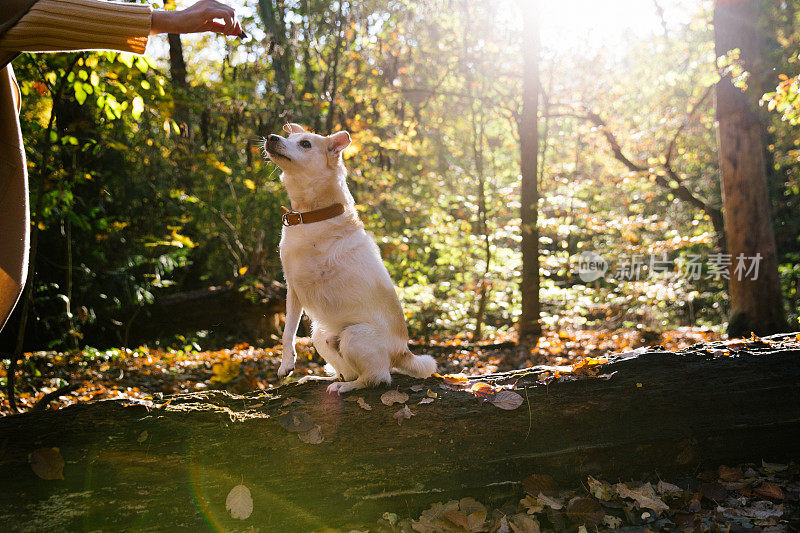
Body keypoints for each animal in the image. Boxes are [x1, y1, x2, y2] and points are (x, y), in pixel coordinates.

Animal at [266, 122, 434, 392]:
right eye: (287, 136)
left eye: (305, 144)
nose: (271, 137)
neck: (311, 214)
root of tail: (402, 351)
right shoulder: (292, 288)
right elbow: (287, 331)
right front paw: (286, 364)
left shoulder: (301, 283)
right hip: (320, 335)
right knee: (348, 373)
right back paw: (322, 378)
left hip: (353, 336)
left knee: (376, 378)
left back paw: (344, 388)